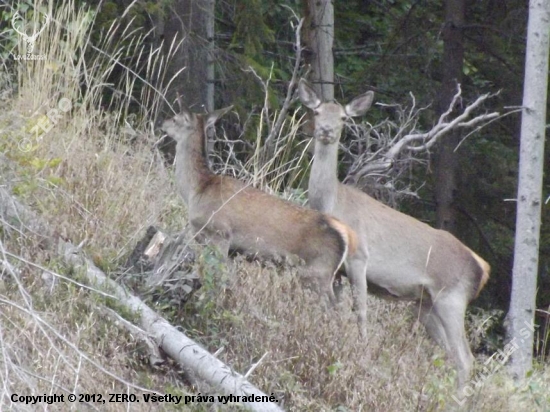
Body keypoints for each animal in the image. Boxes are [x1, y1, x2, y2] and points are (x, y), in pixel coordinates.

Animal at [161, 101, 358, 304]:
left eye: (175, 118)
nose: (163, 123)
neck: (196, 190)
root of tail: (346, 233)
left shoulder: (219, 233)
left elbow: (218, 279)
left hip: (317, 271)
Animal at [300, 78, 494, 390]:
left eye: (343, 118)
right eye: (317, 112)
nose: (326, 130)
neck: (334, 204)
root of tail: (482, 267)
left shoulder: (359, 258)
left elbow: (361, 312)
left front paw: (360, 353)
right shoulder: (336, 268)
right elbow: (333, 308)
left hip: (452, 297)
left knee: (466, 359)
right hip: (426, 304)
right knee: (451, 355)